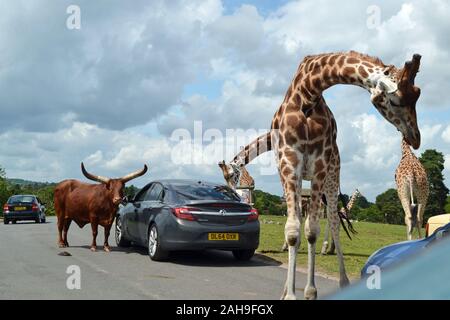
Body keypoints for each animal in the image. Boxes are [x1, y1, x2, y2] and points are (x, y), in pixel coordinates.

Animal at [224, 51, 422, 298]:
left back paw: (343, 280)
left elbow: (312, 230)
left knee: (335, 222)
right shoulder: (288, 166)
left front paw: (309, 292)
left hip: (332, 177)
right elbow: (293, 230)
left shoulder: (319, 166)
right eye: (396, 100)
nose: (416, 138)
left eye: (417, 94)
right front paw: (288, 293)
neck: (307, 94)